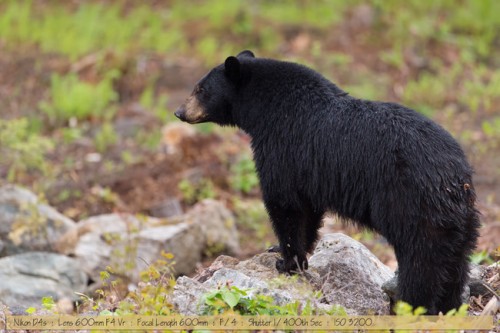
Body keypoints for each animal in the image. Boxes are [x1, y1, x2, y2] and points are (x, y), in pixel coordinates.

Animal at [176, 50, 480, 312]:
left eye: (201, 89)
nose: (179, 112)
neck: (268, 109)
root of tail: (455, 177)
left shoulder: (283, 148)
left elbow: (284, 203)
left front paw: (286, 261)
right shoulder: (309, 173)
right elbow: (308, 210)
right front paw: (288, 252)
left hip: (413, 206)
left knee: (422, 264)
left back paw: (413, 307)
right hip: (460, 222)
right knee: (455, 266)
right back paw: (450, 307)